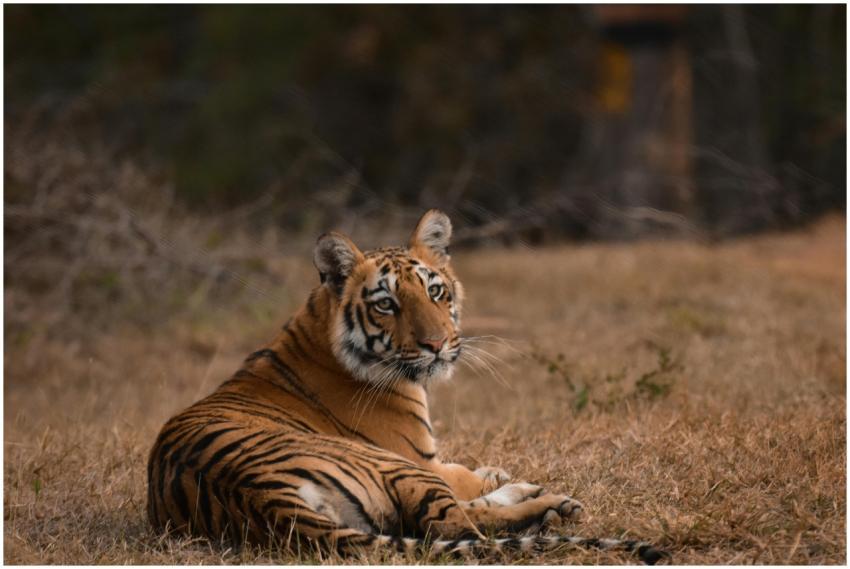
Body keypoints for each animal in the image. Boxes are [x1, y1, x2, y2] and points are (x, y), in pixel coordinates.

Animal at [146, 209, 668, 564]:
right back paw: (553, 506)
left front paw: (500, 473)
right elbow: (461, 480)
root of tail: (267, 501)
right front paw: (503, 478)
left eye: (435, 292)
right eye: (386, 304)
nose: (436, 345)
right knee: (455, 522)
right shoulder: (421, 457)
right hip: (390, 464)